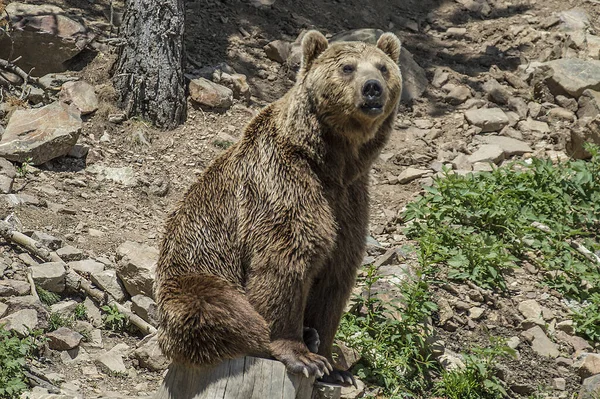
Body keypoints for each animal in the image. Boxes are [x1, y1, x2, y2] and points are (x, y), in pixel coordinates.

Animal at [156, 29, 404, 386]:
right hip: (193, 275)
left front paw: (335, 367)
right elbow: (285, 261)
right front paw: (304, 357)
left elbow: (336, 277)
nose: (372, 87)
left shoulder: (350, 200)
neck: (332, 161)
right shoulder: (280, 182)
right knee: (216, 311)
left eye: (383, 67)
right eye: (347, 67)